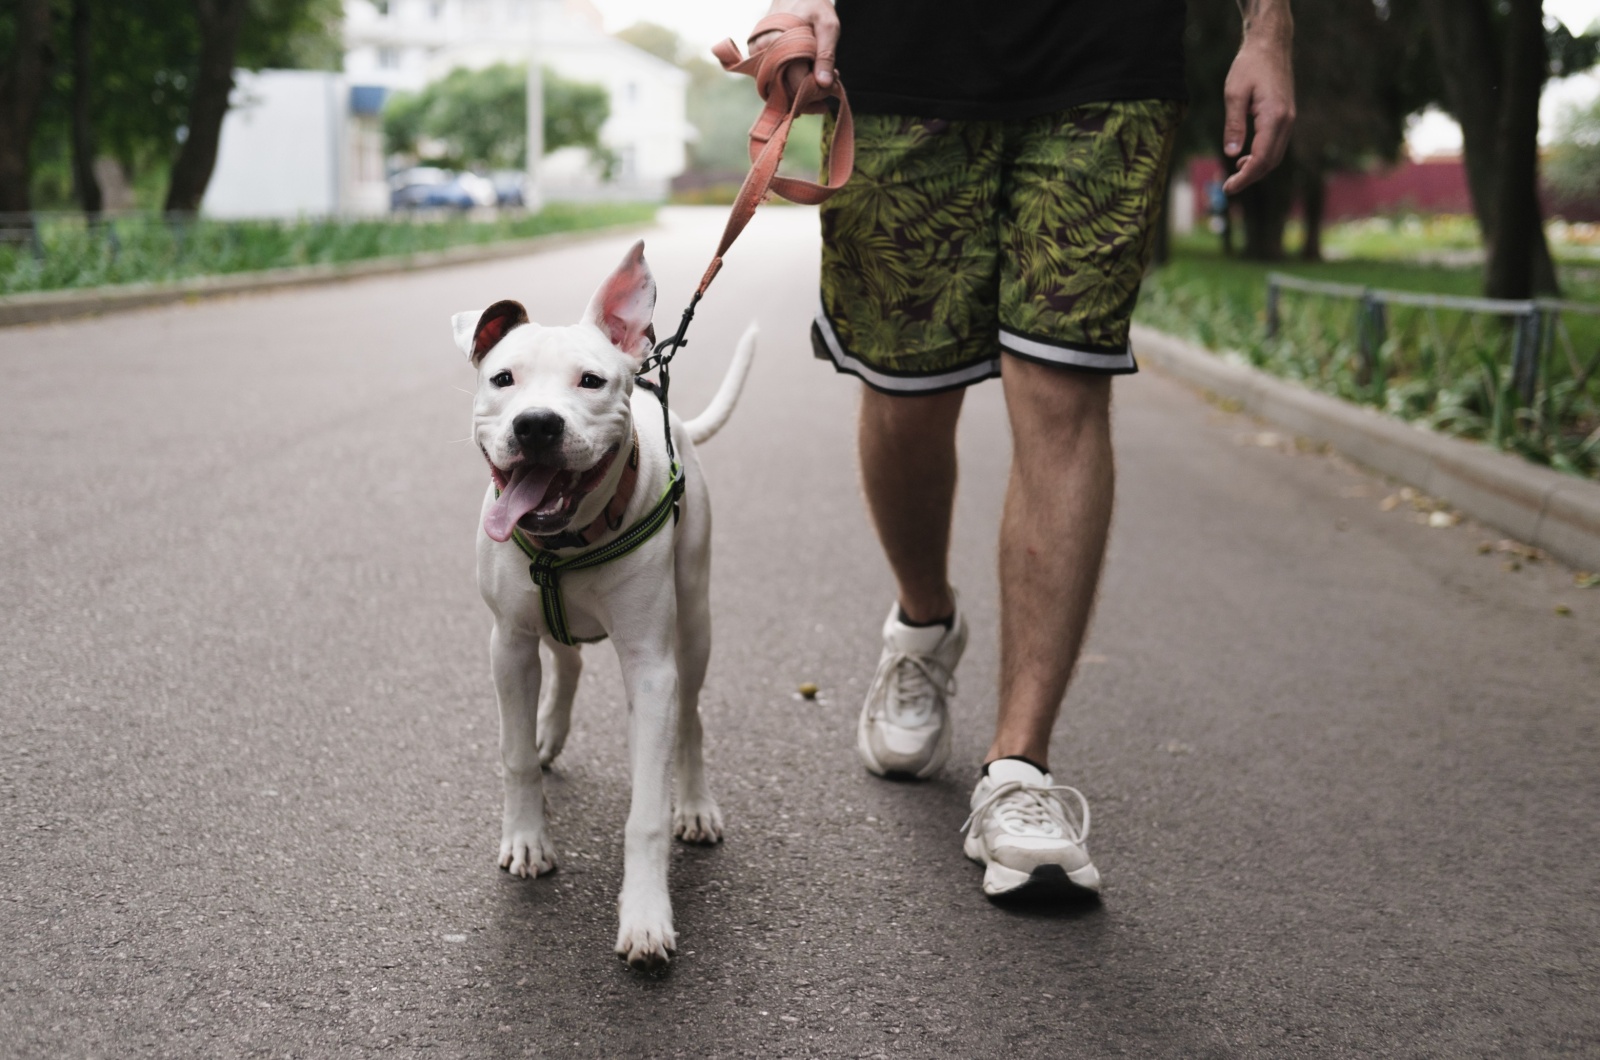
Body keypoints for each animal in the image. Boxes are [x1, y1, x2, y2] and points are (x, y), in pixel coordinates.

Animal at [451, 243, 748, 973]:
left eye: (590, 381)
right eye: (503, 378)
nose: (535, 424)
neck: (569, 542)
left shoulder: (651, 666)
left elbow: (646, 812)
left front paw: (645, 917)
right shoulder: (507, 643)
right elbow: (513, 755)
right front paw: (528, 839)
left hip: (694, 622)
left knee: (691, 717)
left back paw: (694, 803)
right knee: (567, 664)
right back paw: (550, 731)